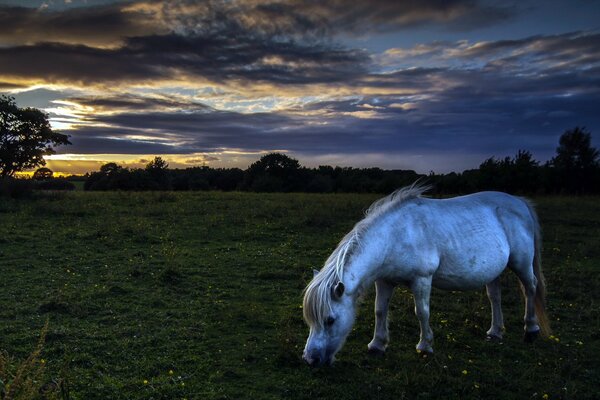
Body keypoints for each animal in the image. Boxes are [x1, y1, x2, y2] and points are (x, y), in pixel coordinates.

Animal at [302, 184, 552, 366]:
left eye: (330, 320)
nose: (311, 360)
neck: (396, 235)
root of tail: (520, 201)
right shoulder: (384, 281)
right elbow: (379, 311)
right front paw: (377, 345)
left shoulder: (422, 279)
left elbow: (421, 312)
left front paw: (425, 346)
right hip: (493, 271)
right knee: (495, 297)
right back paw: (495, 332)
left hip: (521, 263)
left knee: (530, 288)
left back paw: (531, 330)